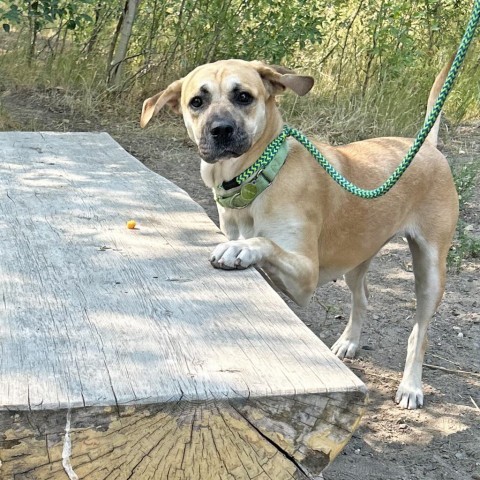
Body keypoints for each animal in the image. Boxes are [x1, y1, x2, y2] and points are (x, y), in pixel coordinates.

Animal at [141, 59, 460, 408]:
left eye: (243, 96)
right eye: (197, 101)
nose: (221, 129)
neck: (260, 179)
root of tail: (426, 146)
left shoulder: (307, 274)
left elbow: (265, 242)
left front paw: (240, 249)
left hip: (430, 271)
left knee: (419, 333)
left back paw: (411, 386)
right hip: (358, 254)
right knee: (362, 297)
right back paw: (349, 341)